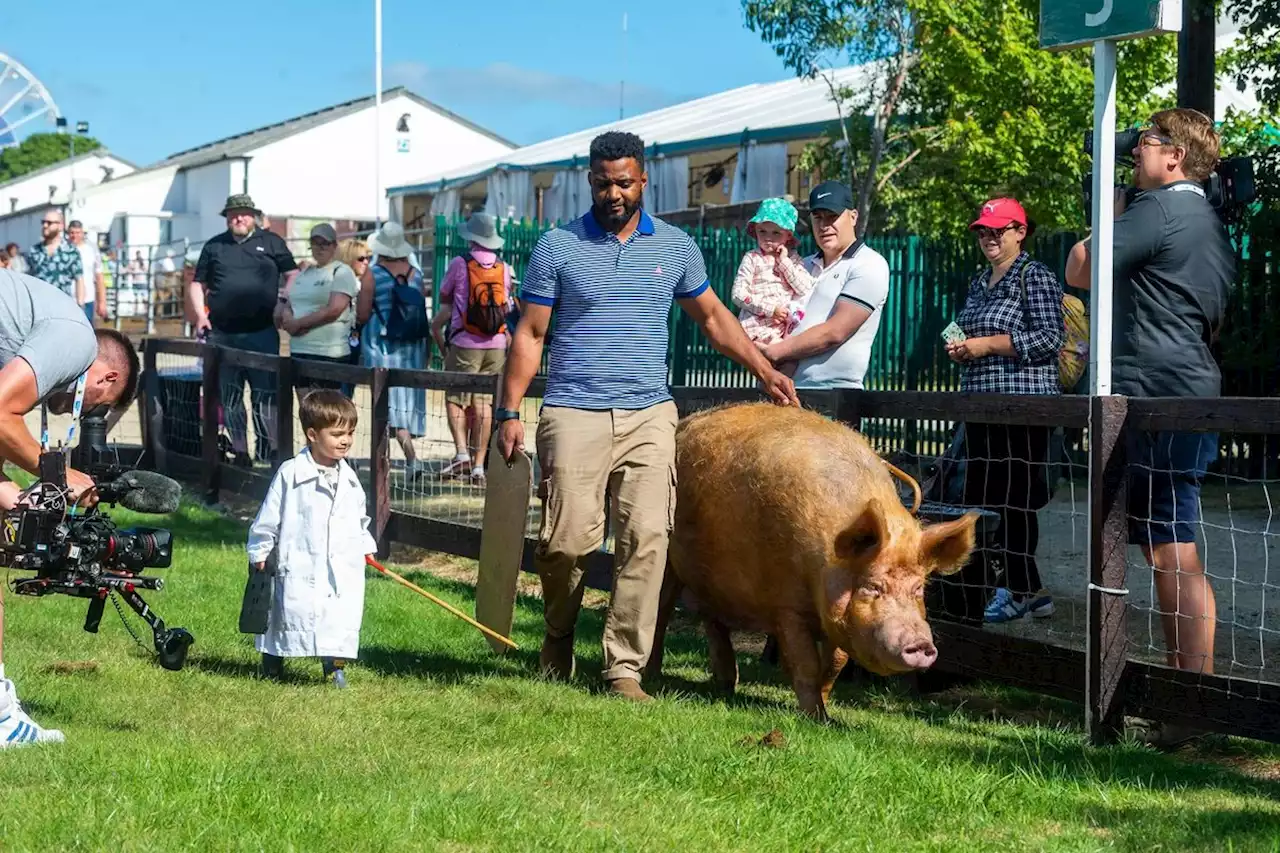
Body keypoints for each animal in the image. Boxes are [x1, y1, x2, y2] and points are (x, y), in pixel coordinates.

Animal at [650, 402, 977, 722]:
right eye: (873, 586)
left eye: (918, 589)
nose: (921, 644)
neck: (825, 563)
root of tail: (686, 424)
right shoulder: (786, 605)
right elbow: (805, 662)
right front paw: (814, 718)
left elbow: (835, 663)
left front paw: (826, 714)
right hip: (668, 557)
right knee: (662, 610)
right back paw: (655, 676)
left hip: (713, 578)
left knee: (713, 621)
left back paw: (726, 687)